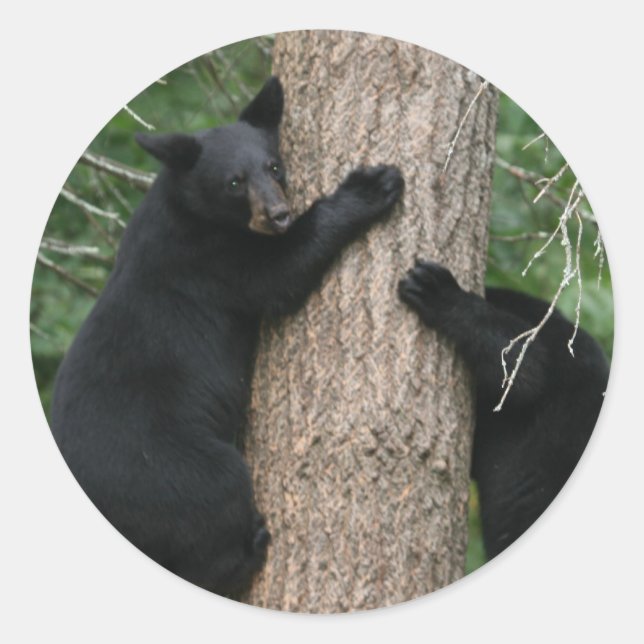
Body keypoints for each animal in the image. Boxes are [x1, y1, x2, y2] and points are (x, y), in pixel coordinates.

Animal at [50, 76, 404, 597]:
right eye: (234, 182)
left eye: (274, 166)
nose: (278, 213)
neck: (188, 209)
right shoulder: (210, 259)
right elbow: (282, 272)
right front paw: (371, 187)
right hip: (162, 468)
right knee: (214, 499)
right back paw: (249, 549)